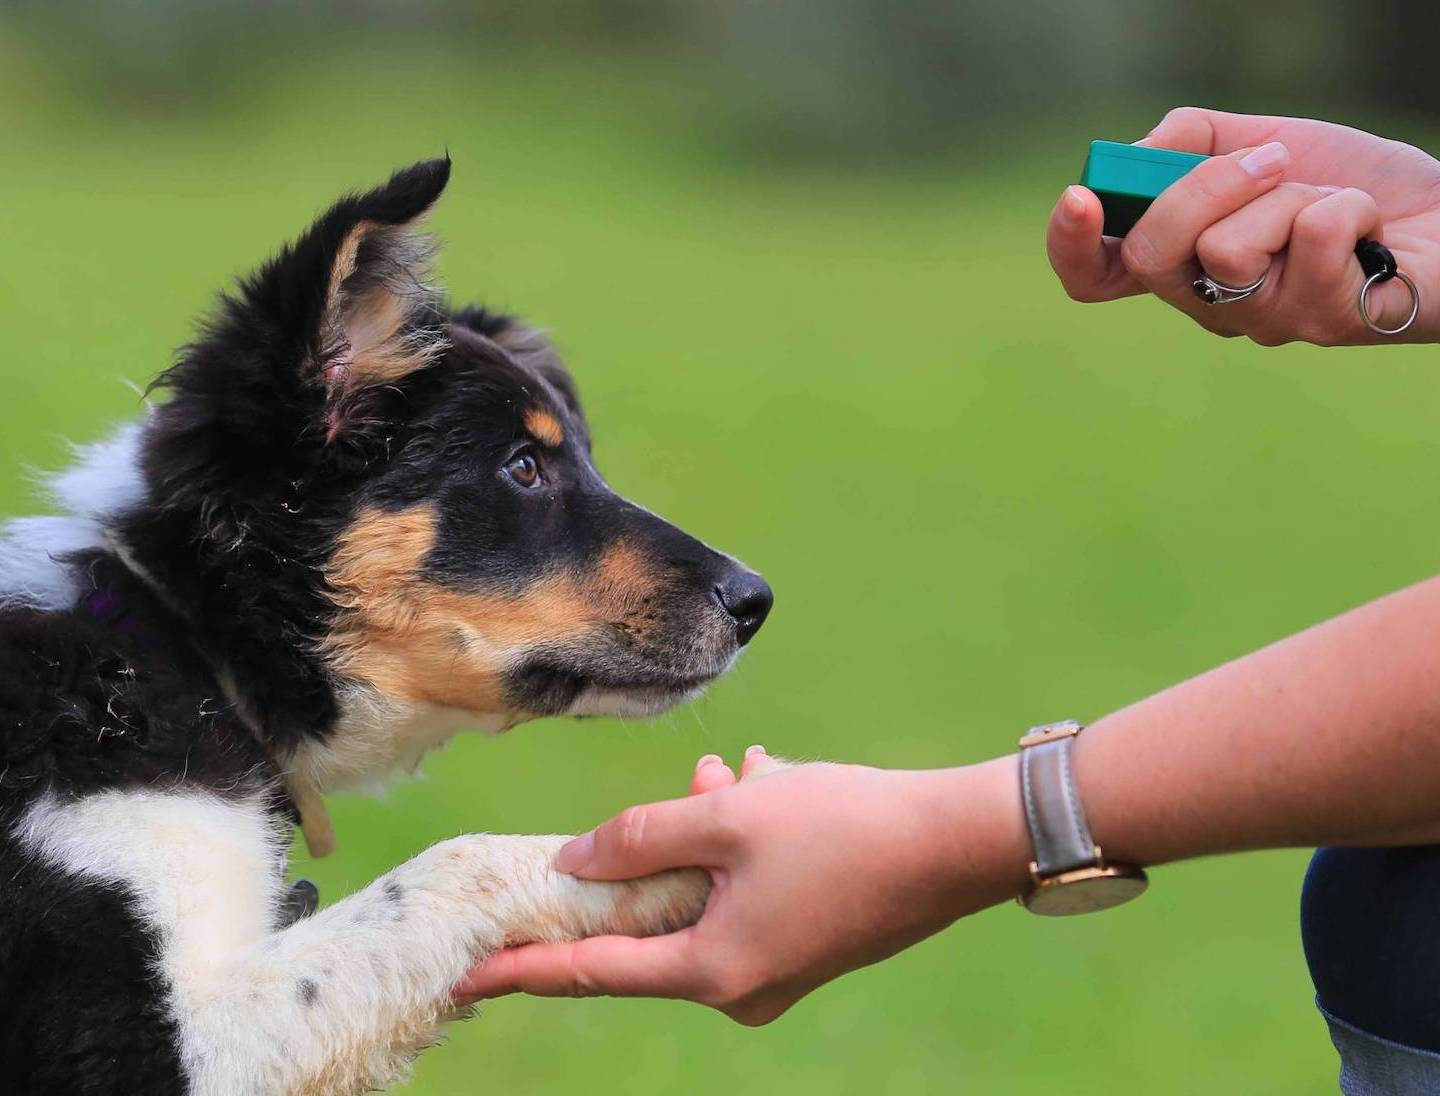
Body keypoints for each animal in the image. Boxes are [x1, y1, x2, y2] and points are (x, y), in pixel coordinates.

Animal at [0, 156, 777, 1094]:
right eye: (523, 467)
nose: (756, 601)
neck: (180, 643)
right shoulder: (130, 1042)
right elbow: (453, 865)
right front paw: (673, 861)